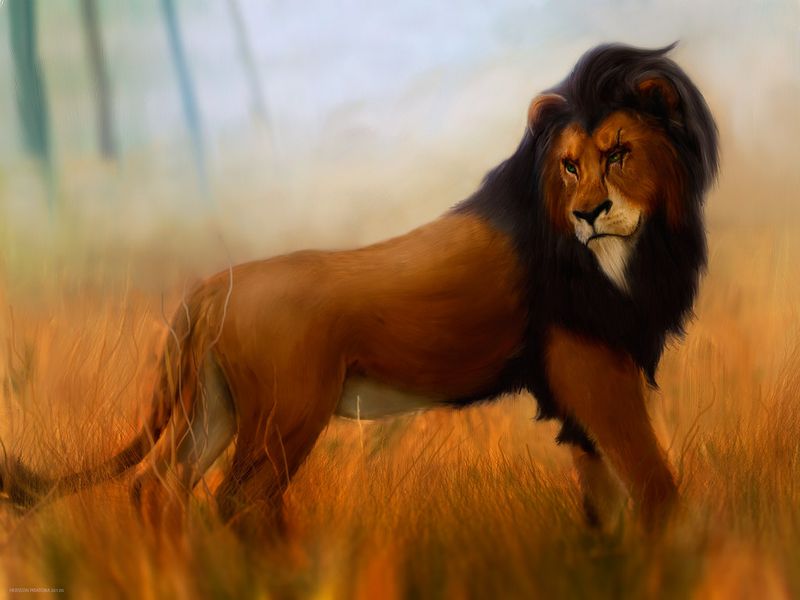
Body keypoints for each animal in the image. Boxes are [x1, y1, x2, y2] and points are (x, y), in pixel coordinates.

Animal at [1, 43, 718, 535]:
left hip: (216, 406)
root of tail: (210, 286)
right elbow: (653, 481)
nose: (588, 213)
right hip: (287, 411)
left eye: (619, 153)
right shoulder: (591, 363)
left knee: (157, 487)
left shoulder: (574, 384)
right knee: (241, 500)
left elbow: (607, 495)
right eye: (571, 165)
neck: (635, 247)